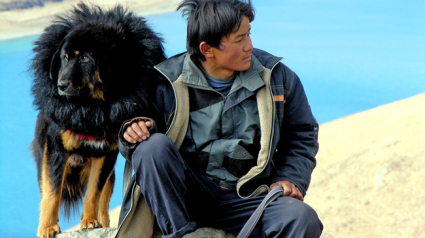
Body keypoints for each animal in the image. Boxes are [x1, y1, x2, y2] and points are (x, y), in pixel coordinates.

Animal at [29, 3, 166, 236]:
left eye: (85, 58)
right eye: (65, 58)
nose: (60, 85)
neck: (93, 110)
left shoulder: (106, 153)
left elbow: (94, 192)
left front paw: (90, 220)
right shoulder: (56, 149)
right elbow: (52, 192)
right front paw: (47, 226)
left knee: (104, 197)